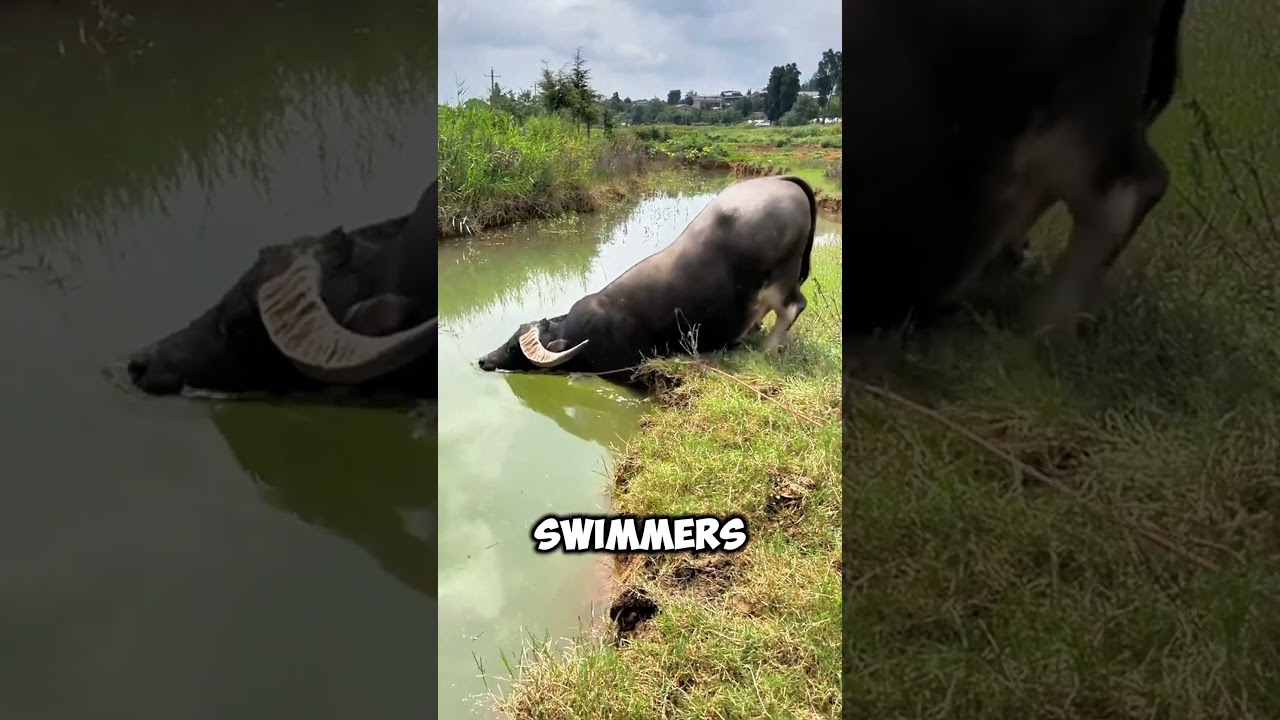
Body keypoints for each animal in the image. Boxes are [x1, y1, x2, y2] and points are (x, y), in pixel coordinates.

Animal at [477, 175, 819, 380]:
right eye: (510, 338)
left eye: (513, 348)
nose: (483, 360)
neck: (580, 335)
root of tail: (781, 180)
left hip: (781, 279)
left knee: (793, 306)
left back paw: (768, 349)